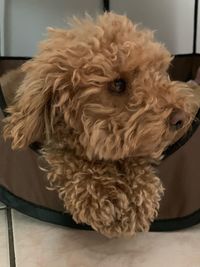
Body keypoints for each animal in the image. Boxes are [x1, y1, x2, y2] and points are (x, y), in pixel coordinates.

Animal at [1, 13, 200, 239]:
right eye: (118, 84)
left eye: (158, 71)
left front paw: (138, 196)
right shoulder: (55, 144)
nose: (181, 117)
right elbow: (69, 159)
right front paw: (106, 196)